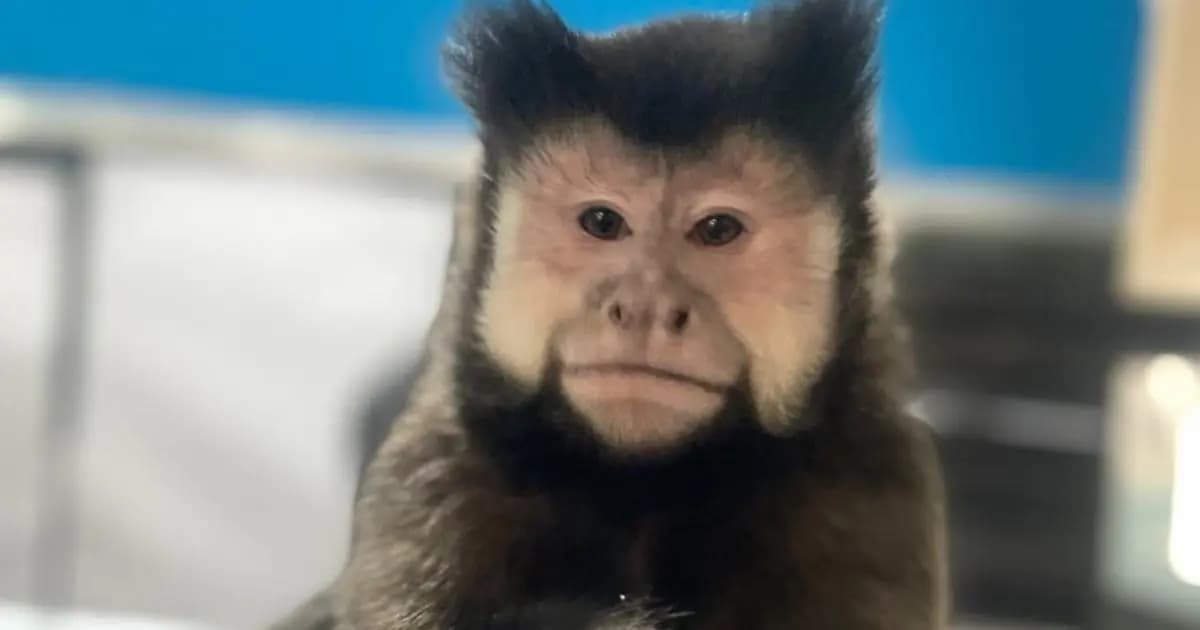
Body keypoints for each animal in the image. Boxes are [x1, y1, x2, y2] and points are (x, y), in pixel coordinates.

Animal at [273, 0, 949, 628]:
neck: (645, 487)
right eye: (602, 222)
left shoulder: (871, 492)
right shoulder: (433, 478)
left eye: (717, 229)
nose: (645, 308)